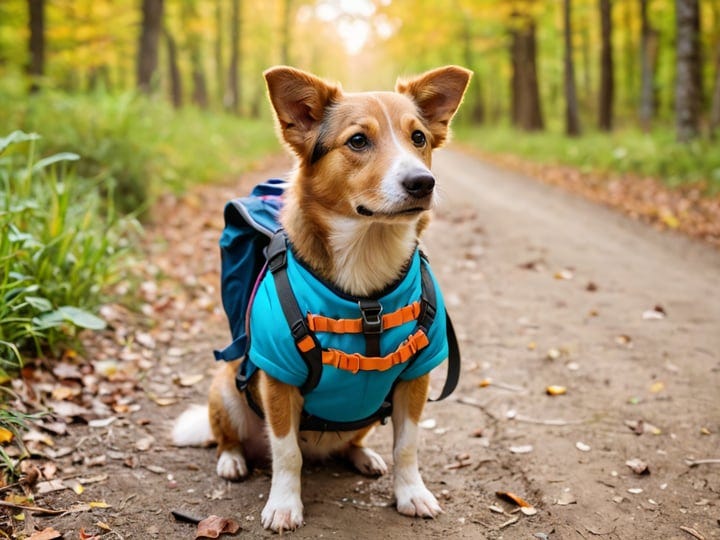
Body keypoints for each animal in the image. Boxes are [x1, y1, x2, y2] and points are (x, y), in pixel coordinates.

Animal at [172, 64, 470, 532]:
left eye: (418, 137)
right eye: (358, 141)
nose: (423, 182)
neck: (367, 287)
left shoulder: (415, 378)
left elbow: (407, 445)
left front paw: (411, 493)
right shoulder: (278, 379)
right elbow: (287, 453)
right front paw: (284, 504)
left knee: (353, 442)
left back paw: (363, 456)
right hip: (225, 390)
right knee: (231, 439)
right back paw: (232, 461)